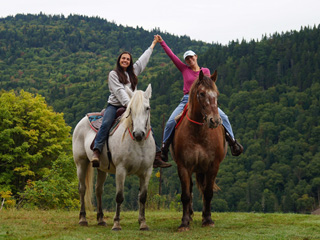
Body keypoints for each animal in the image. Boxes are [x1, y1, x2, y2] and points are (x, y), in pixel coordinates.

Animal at [72, 84, 155, 231]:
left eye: (147, 108)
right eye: (131, 109)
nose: (139, 134)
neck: (138, 144)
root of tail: (84, 119)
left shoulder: (147, 171)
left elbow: (143, 197)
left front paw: (143, 223)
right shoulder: (121, 170)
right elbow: (119, 197)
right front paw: (116, 224)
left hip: (101, 168)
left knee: (98, 190)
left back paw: (101, 219)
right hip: (81, 163)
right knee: (82, 189)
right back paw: (83, 219)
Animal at [171, 70, 226, 231]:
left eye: (216, 94)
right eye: (201, 93)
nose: (215, 120)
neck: (198, 133)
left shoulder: (213, 166)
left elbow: (208, 193)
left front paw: (208, 220)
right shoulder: (183, 166)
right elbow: (185, 195)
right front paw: (184, 223)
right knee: (189, 190)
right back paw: (189, 216)